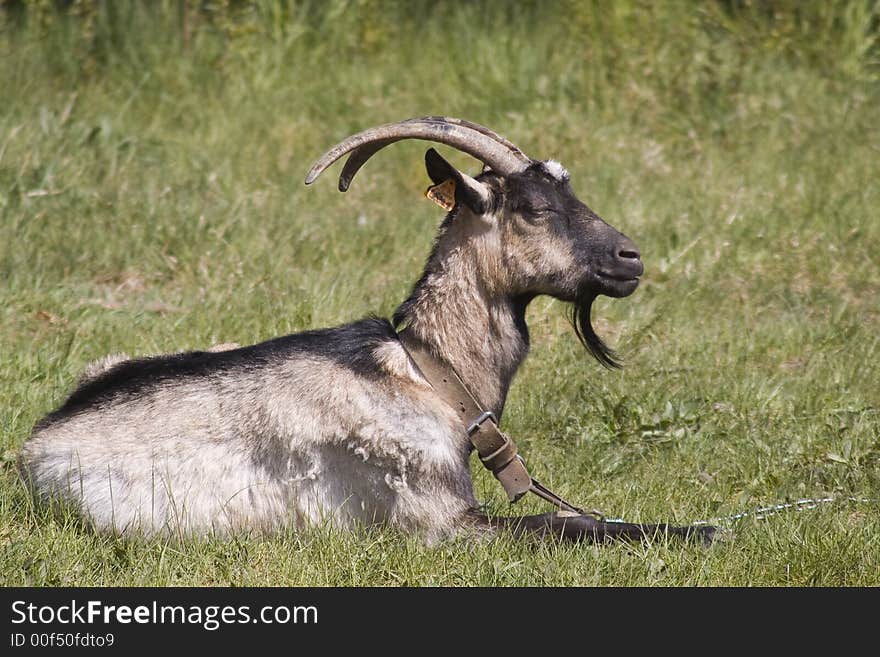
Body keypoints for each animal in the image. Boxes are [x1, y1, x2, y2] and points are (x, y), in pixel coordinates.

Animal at [18, 115, 716, 540]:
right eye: (536, 208)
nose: (630, 259)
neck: (431, 372)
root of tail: (35, 445)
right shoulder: (441, 519)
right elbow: (568, 526)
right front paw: (704, 532)